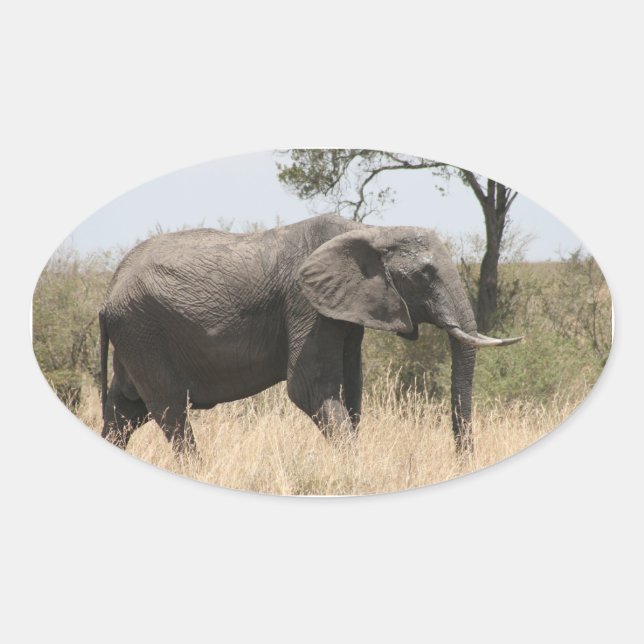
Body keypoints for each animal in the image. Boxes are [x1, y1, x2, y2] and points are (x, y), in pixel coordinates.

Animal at [99, 214, 521, 455]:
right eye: (424, 275)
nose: (462, 459)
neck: (369, 231)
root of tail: (109, 293)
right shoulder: (306, 303)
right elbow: (309, 388)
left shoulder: (344, 310)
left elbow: (351, 389)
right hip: (143, 330)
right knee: (169, 409)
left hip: (135, 335)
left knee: (125, 410)